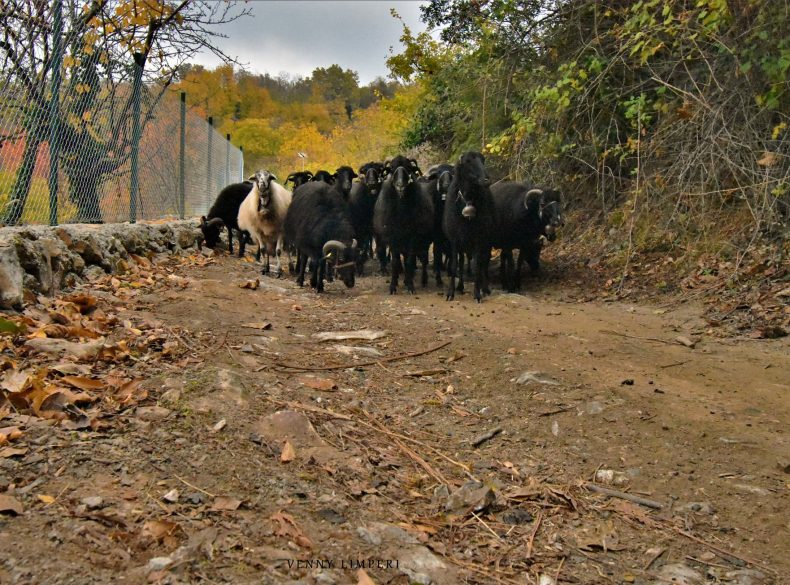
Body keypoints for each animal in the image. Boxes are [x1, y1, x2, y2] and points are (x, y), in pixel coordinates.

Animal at [376, 154, 436, 292]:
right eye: (392, 169)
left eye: (408, 168)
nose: (400, 186)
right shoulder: (393, 237)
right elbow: (395, 262)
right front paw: (393, 286)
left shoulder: (413, 237)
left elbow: (409, 261)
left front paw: (410, 286)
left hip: (423, 240)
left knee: (423, 259)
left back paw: (422, 280)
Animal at [442, 151, 498, 302]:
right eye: (468, 162)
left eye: (483, 160)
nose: (487, 180)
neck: (467, 200)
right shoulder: (455, 239)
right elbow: (454, 266)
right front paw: (450, 293)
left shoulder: (479, 239)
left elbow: (478, 266)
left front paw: (477, 294)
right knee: (462, 262)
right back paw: (460, 286)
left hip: (486, 240)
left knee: (483, 263)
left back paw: (485, 288)